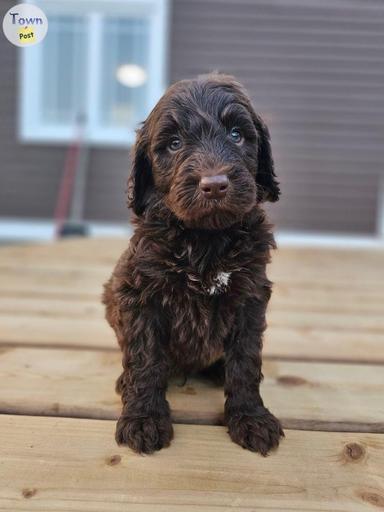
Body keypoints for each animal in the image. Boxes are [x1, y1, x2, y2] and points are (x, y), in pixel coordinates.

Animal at [103, 74, 284, 454]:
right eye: (174, 144)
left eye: (236, 134)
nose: (214, 185)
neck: (205, 239)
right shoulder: (139, 295)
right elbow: (145, 358)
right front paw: (143, 418)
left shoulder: (249, 296)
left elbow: (246, 359)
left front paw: (250, 417)